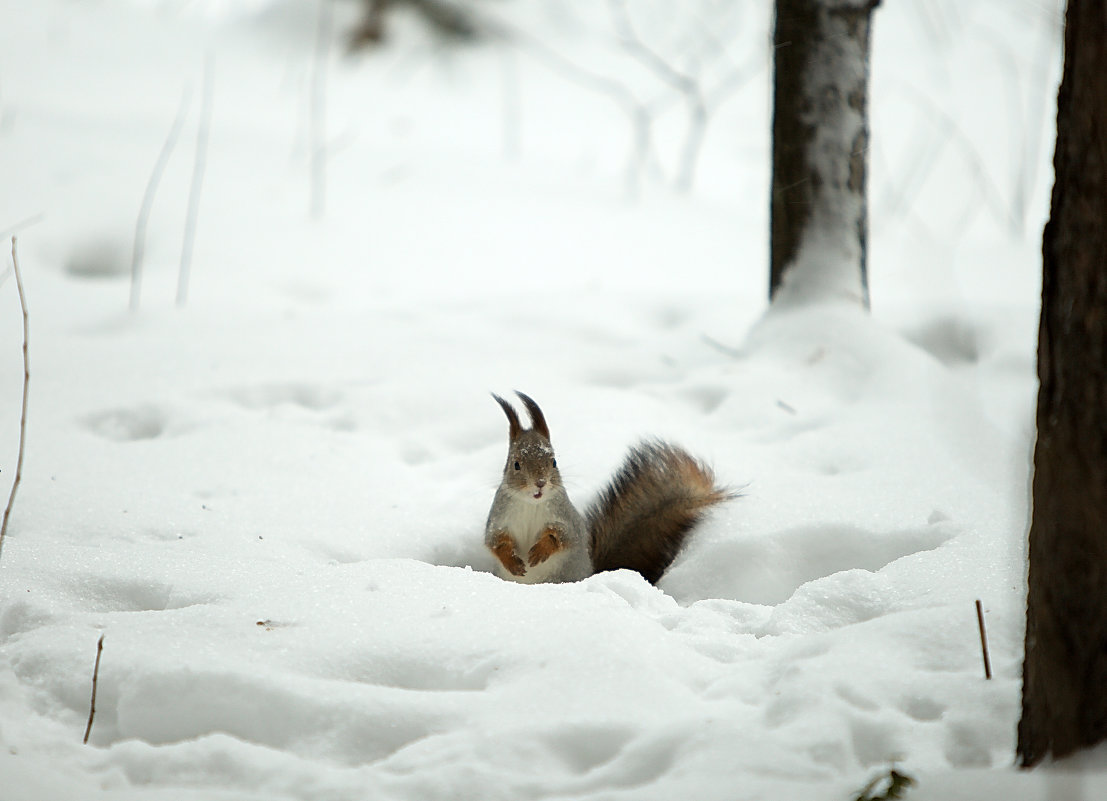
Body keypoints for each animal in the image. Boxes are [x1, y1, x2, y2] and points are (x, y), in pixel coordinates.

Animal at [480, 391, 730, 584]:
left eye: (553, 462)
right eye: (516, 464)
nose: (540, 483)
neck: (532, 503)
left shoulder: (565, 517)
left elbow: (563, 536)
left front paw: (540, 551)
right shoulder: (499, 518)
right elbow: (494, 541)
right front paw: (512, 560)